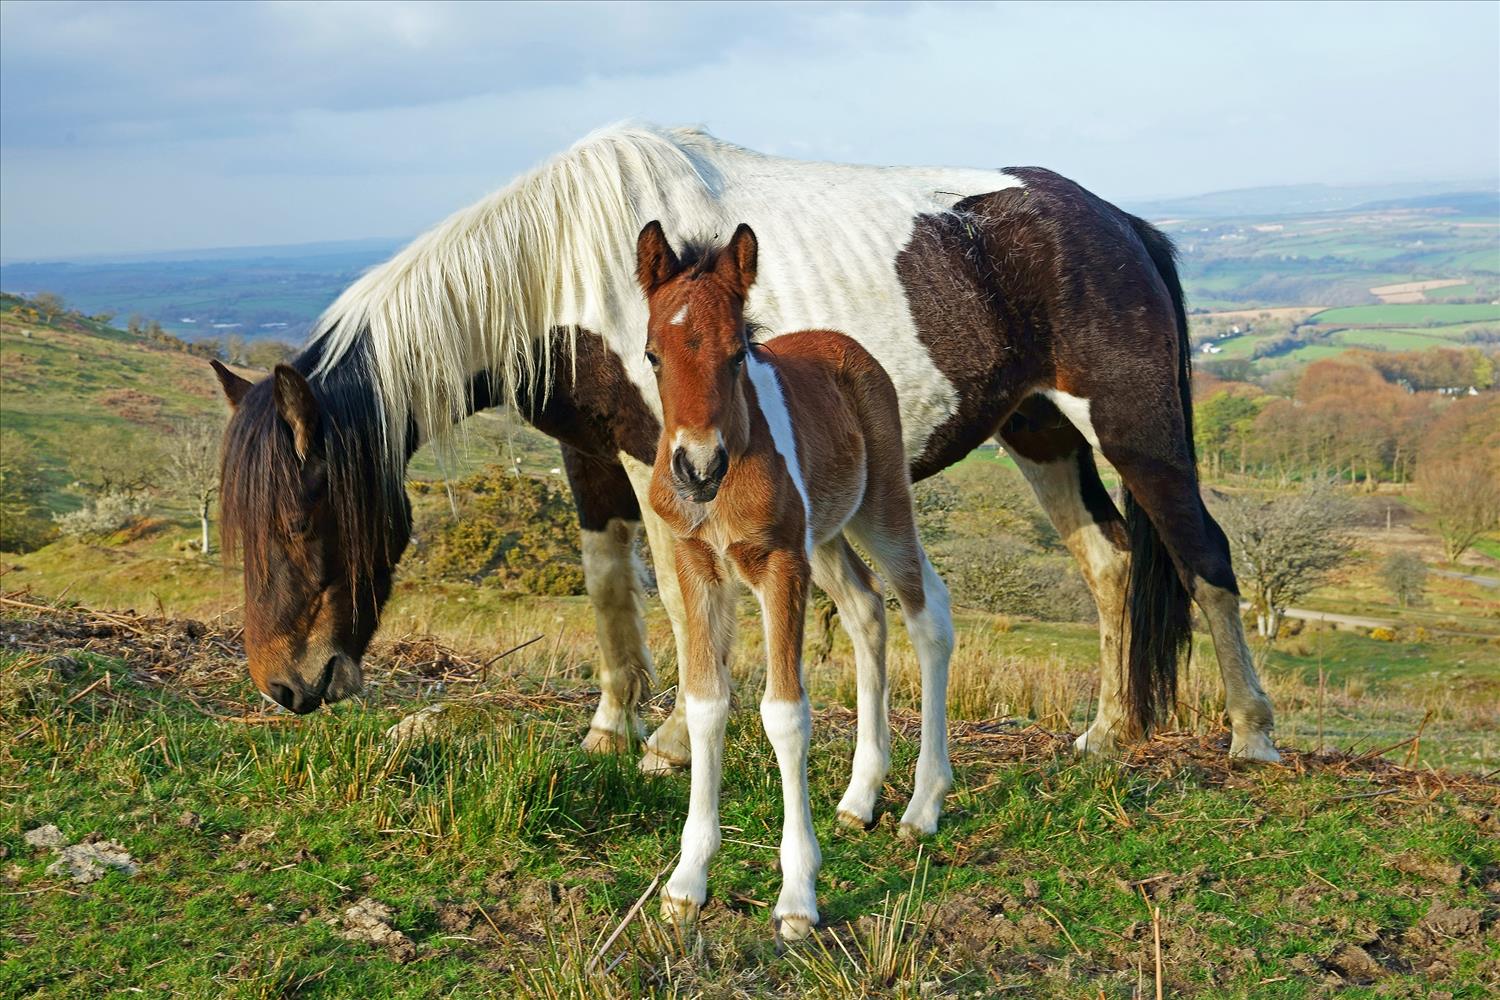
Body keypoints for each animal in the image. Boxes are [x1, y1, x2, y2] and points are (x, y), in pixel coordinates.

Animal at [211, 122, 1278, 767]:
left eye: (300, 524)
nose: (286, 688)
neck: (567, 266)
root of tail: (1118, 222)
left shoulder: (665, 461)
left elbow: (685, 605)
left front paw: (674, 741)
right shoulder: (591, 458)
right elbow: (611, 588)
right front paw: (611, 730)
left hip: (1136, 431)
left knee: (1205, 557)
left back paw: (1253, 736)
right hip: (1041, 430)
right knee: (1110, 561)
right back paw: (1107, 733)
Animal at [639, 218, 954, 941]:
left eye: (737, 356)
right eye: (652, 355)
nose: (698, 468)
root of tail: (846, 344)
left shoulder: (782, 564)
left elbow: (784, 714)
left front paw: (797, 898)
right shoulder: (699, 567)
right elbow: (706, 704)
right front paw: (686, 883)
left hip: (881, 507)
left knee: (928, 613)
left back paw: (922, 805)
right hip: (829, 537)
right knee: (867, 609)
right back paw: (862, 795)